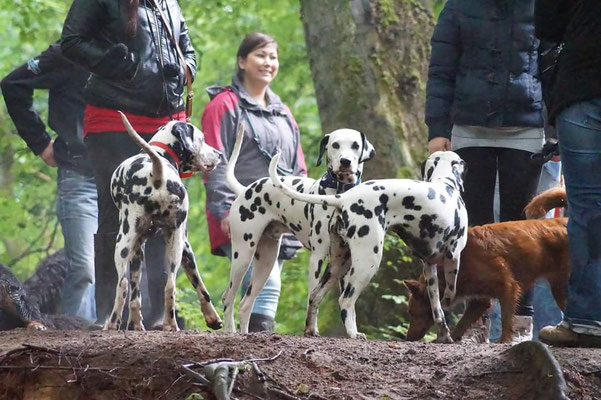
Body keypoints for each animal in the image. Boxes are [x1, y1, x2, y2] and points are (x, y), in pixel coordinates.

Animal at [106, 112, 223, 332]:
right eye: (202, 139)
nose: (219, 154)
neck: (161, 154)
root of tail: (156, 171)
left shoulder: (138, 249)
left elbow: (135, 295)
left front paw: (135, 325)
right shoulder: (184, 246)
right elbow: (201, 287)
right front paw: (212, 318)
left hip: (124, 244)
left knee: (123, 285)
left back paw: (112, 324)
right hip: (173, 246)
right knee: (169, 286)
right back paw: (169, 324)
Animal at [220, 126, 372, 334]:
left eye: (355, 145)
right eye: (335, 144)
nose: (345, 161)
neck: (338, 196)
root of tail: (246, 189)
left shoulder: (345, 262)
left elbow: (350, 305)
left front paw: (353, 332)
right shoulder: (317, 257)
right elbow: (313, 297)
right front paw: (311, 330)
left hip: (266, 264)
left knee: (245, 304)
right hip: (242, 257)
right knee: (228, 298)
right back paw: (230, 331)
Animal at [268, 150, 468, 340]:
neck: (445, 185)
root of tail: (343, 198)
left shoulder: (429, 269)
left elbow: (438, 311)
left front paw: (445, 335)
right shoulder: (454, 260)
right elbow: (451, 295)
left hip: (339, 265)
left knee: (315, 296)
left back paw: (311, 329)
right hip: (367, 263)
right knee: (345, 300)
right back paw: (353, 333)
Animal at [404, 189, 568, 342]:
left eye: (412, 312)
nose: (408, 338)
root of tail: (565, 220)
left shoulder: (508, 287)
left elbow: (506, 319)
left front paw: (504, 340)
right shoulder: (480, 301)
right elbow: (463, 323)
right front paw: (448, 338)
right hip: (559, 287)